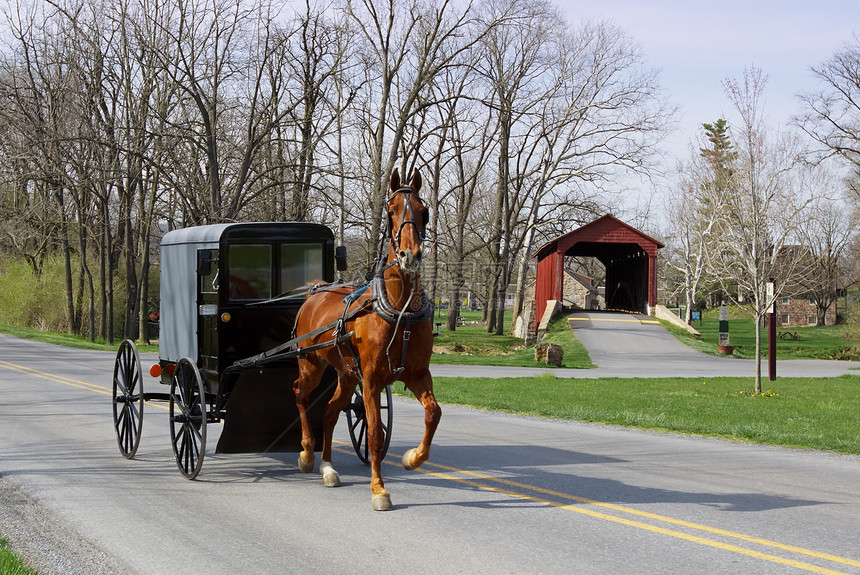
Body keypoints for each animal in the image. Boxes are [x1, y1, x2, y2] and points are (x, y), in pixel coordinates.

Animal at [292, 169, 440, 510]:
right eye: (391, 210)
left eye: (424, 211)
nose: (410, 255)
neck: (400, 310)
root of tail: (315, 291)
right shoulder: (371, 379)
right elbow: (374, 434)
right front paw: (379, 489)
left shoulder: (416, 374)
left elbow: (433, 413)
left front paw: (413, 458)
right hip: (312, 364)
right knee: (301, 395)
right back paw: (307, 453)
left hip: (346, 375)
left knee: (330, 412)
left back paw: (328, 468)